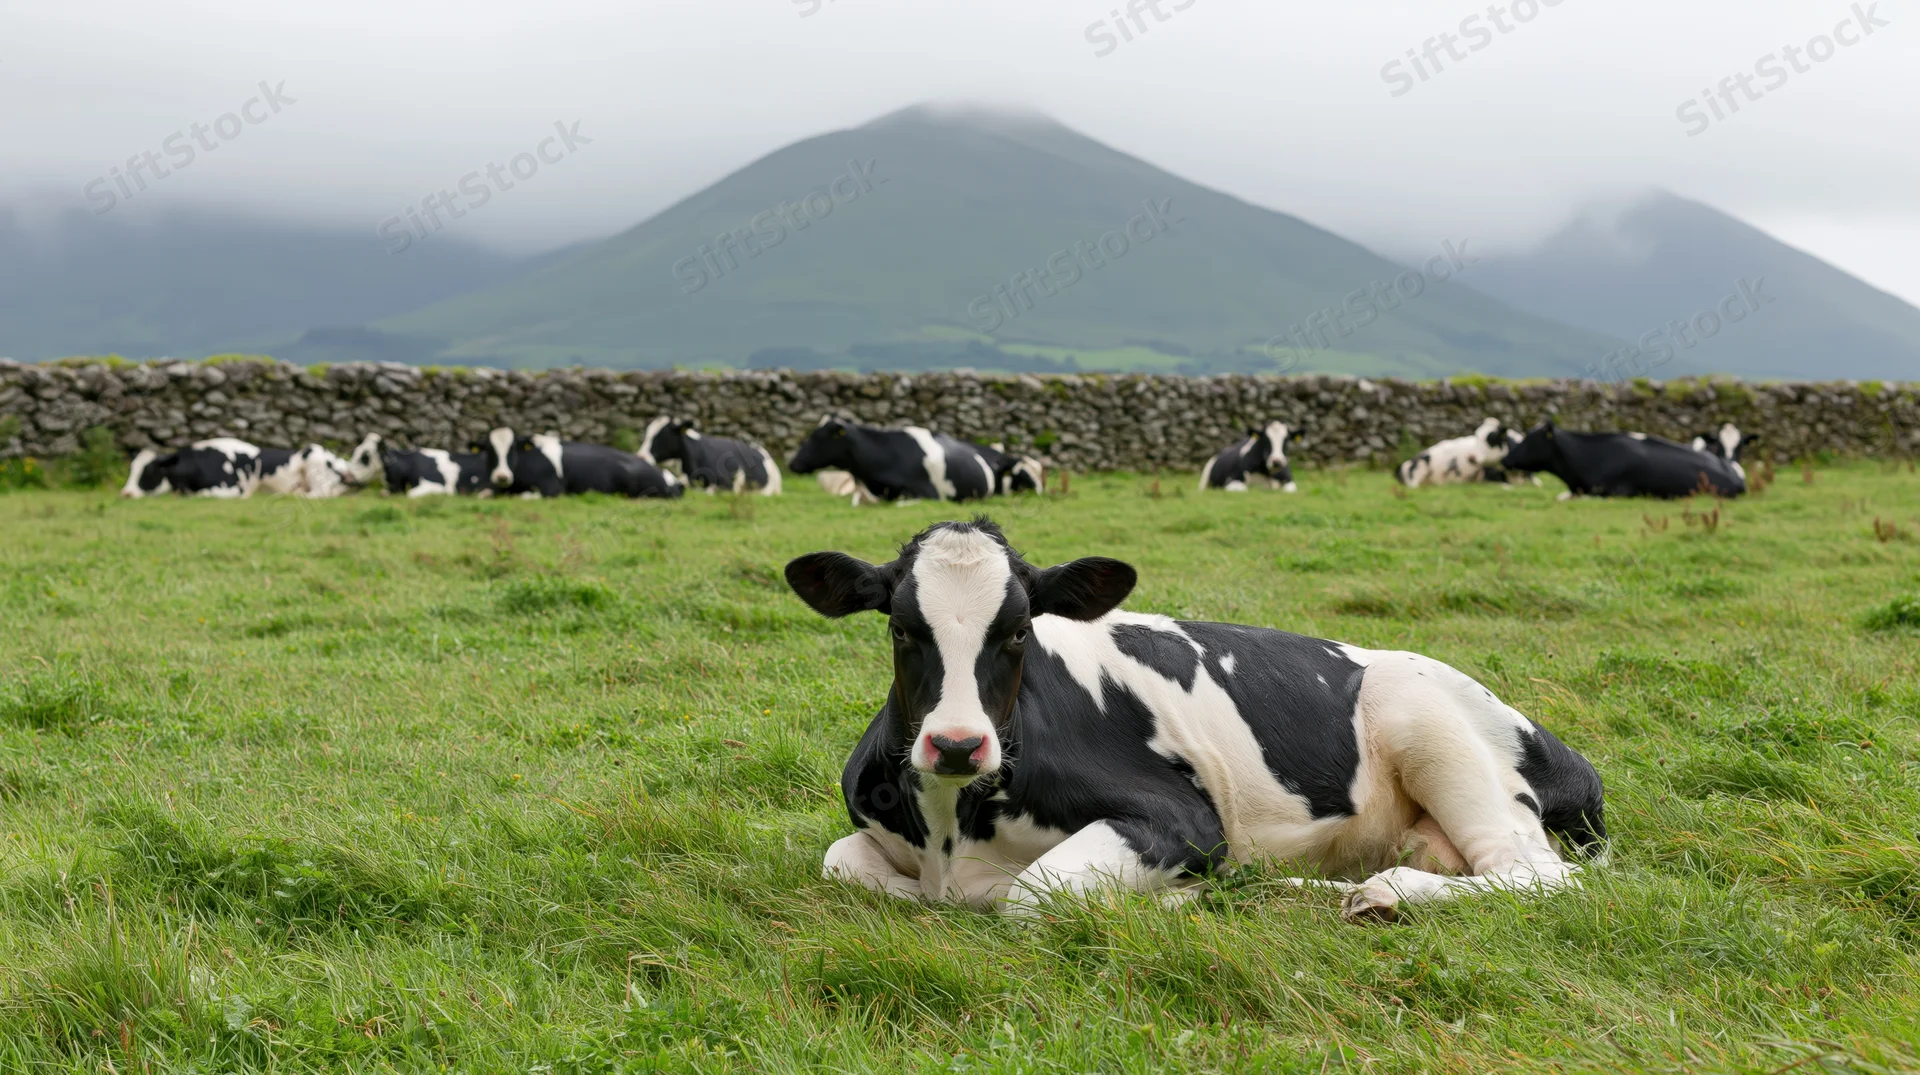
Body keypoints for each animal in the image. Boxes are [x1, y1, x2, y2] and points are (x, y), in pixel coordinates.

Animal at [342, 434, 489, 497]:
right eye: (354, 452)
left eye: (365, 457)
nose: (346, 476)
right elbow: (384, 493)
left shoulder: (438, 486)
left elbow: (410, 494)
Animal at [480, 427, 683, 499]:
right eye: (489, 450)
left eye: (512, 449)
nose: (501, 476)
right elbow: (484, 494)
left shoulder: (552, 488)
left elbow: (526, 496)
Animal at [786, 518, 1605, 921]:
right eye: (901, 627)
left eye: (1018, 630)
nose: (957, 744)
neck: (951, 832)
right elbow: (841, 863)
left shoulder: (1183, 818)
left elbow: (1032, 893)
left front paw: (1179, 896)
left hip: (1427, 720)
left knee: (1539, 874)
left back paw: (1384, 895)